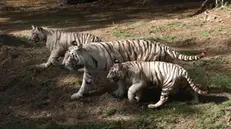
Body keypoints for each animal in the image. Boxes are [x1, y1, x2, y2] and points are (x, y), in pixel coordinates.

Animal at [62, 39, 205, 100]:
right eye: (65, 55)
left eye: (69, 56)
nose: (63, 64)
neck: (88, 60)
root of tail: (163, 46)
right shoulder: (89, 72)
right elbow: (84, 85)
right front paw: (78, 95)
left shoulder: (116, 67)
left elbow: (119, 81)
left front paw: (120, 93)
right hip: (167, 62)